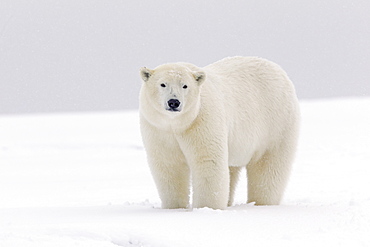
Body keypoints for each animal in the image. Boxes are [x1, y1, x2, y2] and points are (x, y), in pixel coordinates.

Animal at [140, 57, 300, 209]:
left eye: (185, 85)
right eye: (163, 84)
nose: (174, 102)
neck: (177, 124)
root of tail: (279, 70)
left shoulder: (202, 120)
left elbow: (208, 161)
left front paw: (206, 207)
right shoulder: (158, 130)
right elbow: (169, 165)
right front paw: (174, 207)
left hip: (275, 125)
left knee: (268, 167)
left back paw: (262, 202)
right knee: (232, 169)